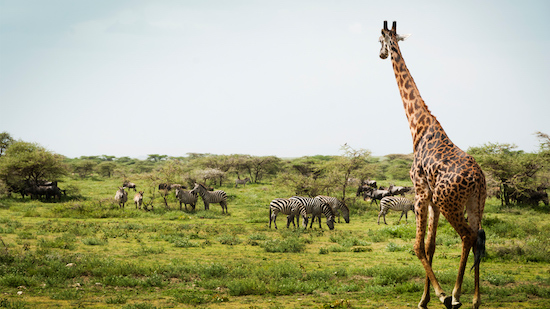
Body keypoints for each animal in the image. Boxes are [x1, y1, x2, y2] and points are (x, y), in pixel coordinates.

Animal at [380, 20, 488, 306]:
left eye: (379, 41)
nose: (381, 54)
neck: (417, 125)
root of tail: (478, 179)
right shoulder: (431, 198)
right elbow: (431, 246)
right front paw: (424, 299)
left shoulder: (421, 192)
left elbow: (418, 246)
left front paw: (439, 295)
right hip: (476, 202)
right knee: (479, 236)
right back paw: (475, 299)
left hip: (449, 202)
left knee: (467, 236)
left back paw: (456, 294)